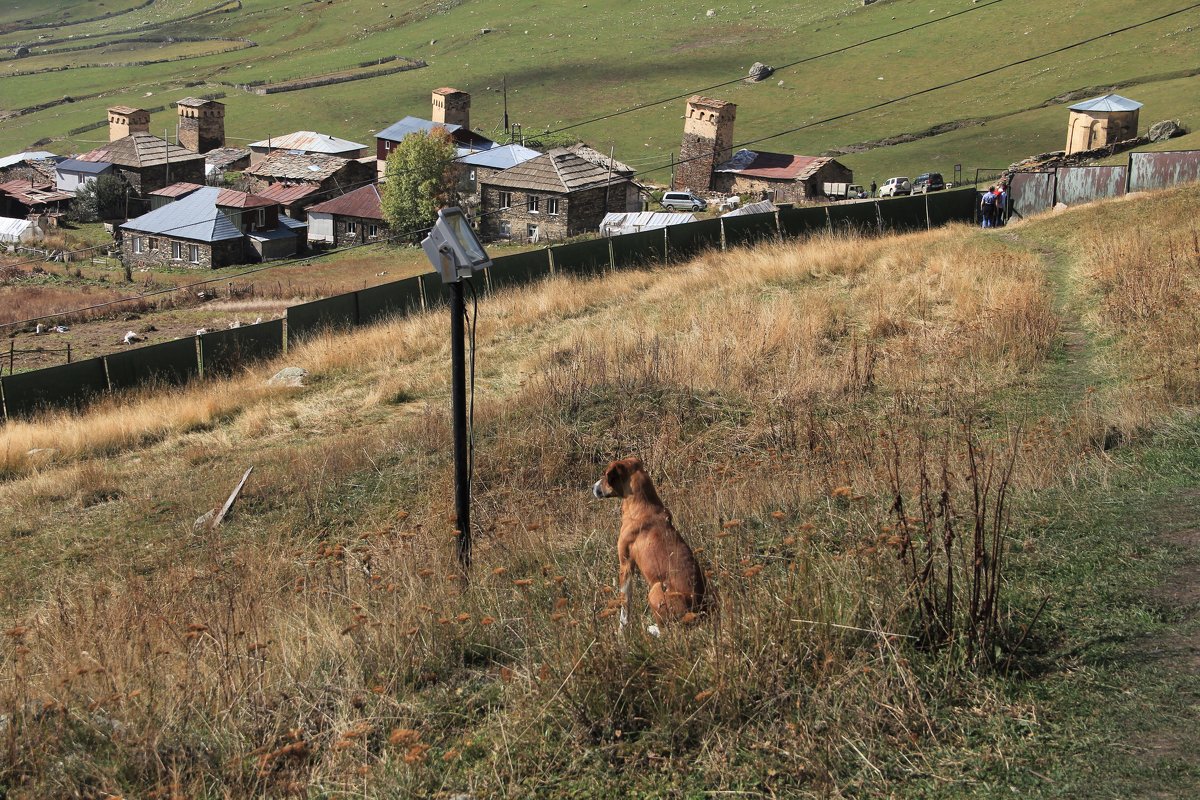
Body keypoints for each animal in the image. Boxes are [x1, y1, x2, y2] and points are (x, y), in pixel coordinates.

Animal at [592, 455, 705, 633]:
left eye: (605, 476)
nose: (593, 487)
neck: (643, 504)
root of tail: (698, 613)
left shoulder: (625, 564)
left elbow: (625, 605)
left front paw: (622, 631)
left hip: (656, 590)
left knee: (668, 632)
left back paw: (652, 629)